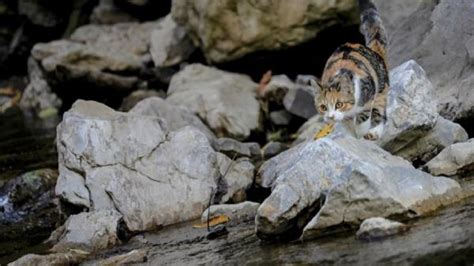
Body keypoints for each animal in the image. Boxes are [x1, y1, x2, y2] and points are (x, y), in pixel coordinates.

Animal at [312, 0, 388, 141]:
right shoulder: (344, 118)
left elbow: (362, 120)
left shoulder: (367, 97)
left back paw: (374, 133)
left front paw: (360, 135)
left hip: (381, 89)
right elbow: (347, 125)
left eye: (339, 104)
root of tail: (373, 51)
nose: (330, 117)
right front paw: (352, 136)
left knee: (380, 112)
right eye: (323, 107)